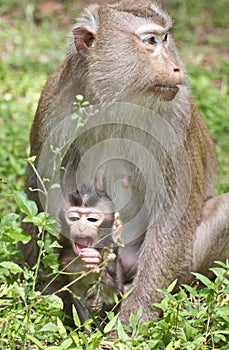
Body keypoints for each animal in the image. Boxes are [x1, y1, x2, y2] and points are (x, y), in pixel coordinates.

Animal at [57, 187, 122, 326]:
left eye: (92, 219)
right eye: (74, 218)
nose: (81, 227)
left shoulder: (110, 252)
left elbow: (114, 295)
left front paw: (96, 262)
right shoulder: (67, 263)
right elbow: (77, 298)